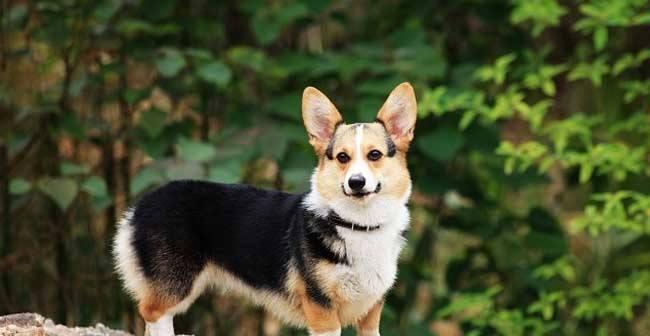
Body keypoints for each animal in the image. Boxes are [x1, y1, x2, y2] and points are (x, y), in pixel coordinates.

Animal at [112, 82, 416, 336]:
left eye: (374, 155)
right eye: (342, 157)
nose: (356, 182)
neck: (358, 224)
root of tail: (141, 205)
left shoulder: (371, 312)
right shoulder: (322, 310)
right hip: (176, 283)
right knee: (153, 313)